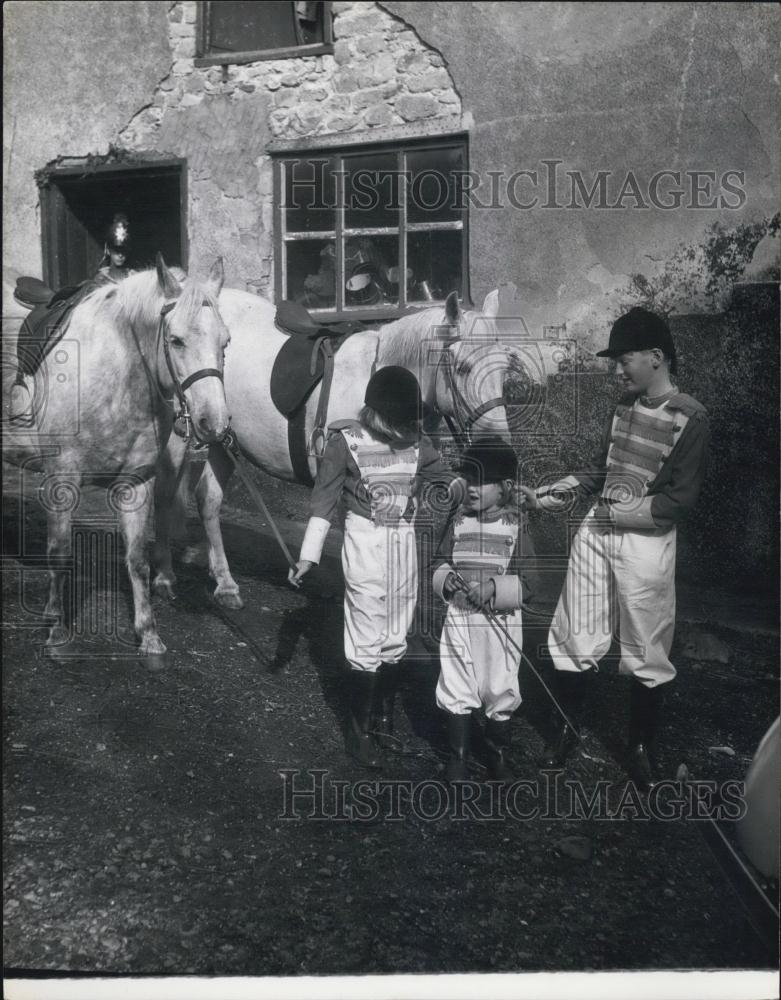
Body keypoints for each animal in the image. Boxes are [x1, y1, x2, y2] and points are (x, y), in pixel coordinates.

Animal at [2, 258, 229, 656]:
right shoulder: (61, 477)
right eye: (176, 340)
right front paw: (56, 629)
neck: (116, 377)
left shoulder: (137, 481)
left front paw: (148, 634)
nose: (212, 423)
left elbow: (137, 560)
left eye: (225, 341)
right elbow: (60, 553)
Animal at [152, 286, 532, 604]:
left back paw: (225, 583)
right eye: (464, 368)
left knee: (208, 498)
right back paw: (165, 575)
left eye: (505, 367)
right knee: (167, 492)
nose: (501, 449)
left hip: (220, 434)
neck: (381, 388)